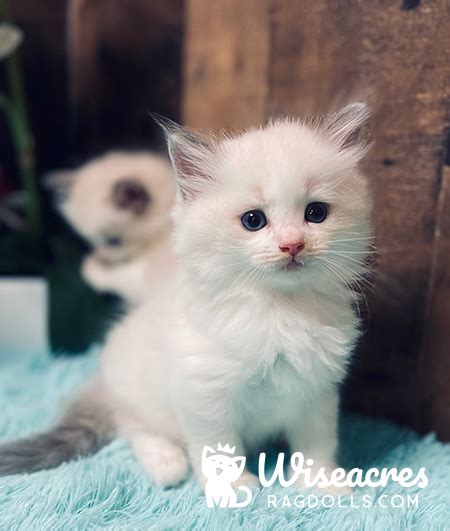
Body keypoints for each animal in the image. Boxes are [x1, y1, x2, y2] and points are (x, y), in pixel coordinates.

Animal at [48, 152, 175, 306]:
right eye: (90, 242)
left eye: (113, 242)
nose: (102, 258)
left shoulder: (149, 284)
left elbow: (119, 278)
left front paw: (89, 266)